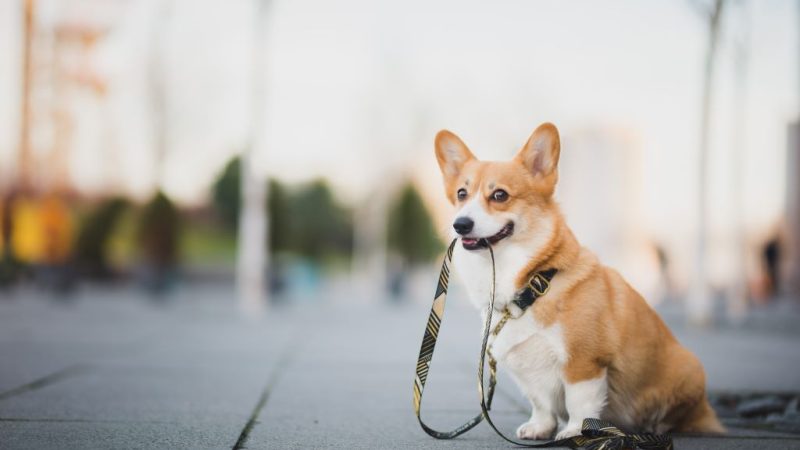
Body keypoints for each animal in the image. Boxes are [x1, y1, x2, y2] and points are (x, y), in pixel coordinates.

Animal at [438, 123, 724, 440]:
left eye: (499, 195)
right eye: (462, 194)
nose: (460, 224)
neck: (532, 285)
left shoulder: (584, 362)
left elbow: (580, 402)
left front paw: (577, 432)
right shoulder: (528, 370)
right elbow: (540, 402)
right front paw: (540, 428)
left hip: (689, 369)